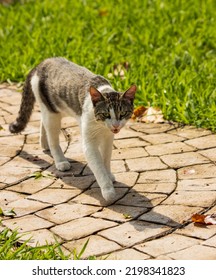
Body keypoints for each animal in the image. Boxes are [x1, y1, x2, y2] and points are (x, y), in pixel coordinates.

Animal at [9, 57, 137, 202]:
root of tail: (42, 62)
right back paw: (60, 160)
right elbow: (98, 167)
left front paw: (108, 174)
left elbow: (106, 159)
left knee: (43, 120)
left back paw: (44, 143)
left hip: (57, 110)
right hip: (52, 113)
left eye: (123, 113)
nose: (115, 125)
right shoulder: (89, 143)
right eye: (105, 114)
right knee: (53, 137)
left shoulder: (108, 139)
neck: (101, 127)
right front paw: (108, 190)